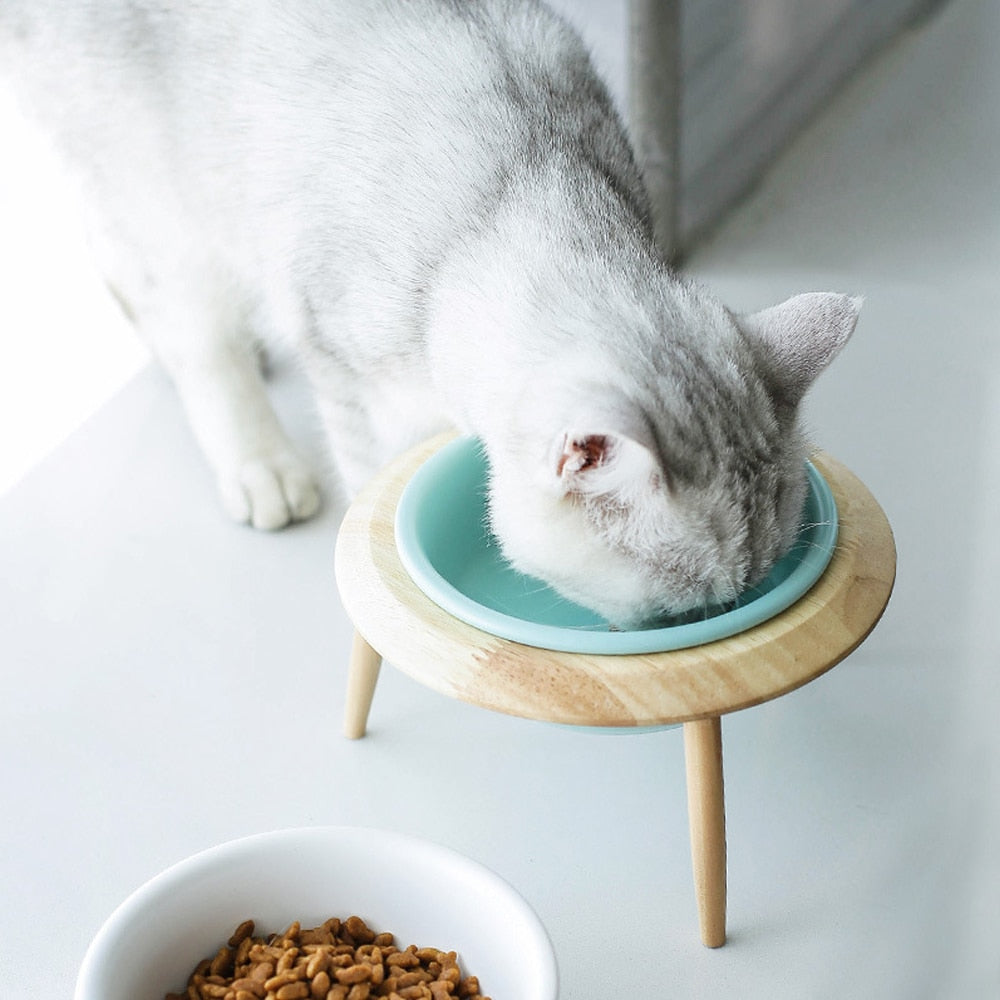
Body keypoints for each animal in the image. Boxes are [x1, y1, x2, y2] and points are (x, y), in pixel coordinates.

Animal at [0, 0, 860, 624]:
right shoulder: (346, 375)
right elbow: (370, 481)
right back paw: (259, 463)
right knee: (181, 320)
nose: (709, 625)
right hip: (158, 194)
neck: (520, 197)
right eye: (677, 612)